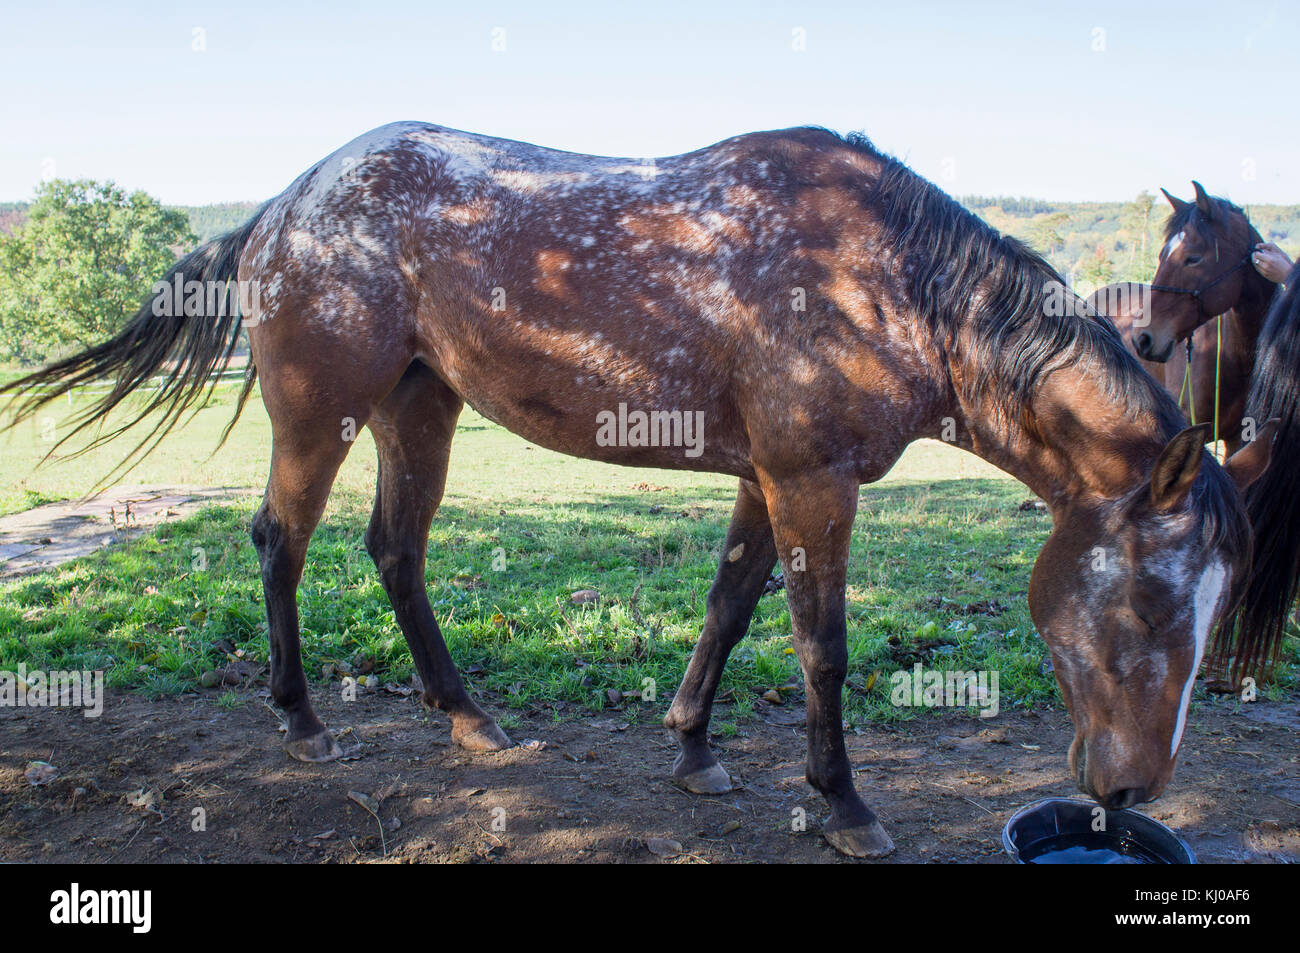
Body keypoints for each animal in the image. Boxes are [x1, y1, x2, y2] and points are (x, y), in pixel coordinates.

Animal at [0, 122, 1279, 858]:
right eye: (1150, 605)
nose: (1131, 786)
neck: (886, 279)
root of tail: (286, 202)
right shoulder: (813, 483)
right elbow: (820, 646)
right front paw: (843, 801)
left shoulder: (768, 479)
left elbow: (727, 605)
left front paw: (693, 746)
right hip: (320, 415)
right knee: (281, 540)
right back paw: (305, 718)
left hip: (421, 407)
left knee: (396, 550)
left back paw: (467, 715)